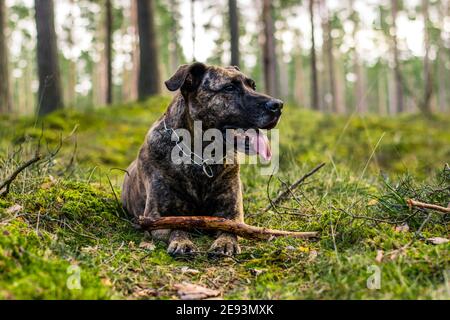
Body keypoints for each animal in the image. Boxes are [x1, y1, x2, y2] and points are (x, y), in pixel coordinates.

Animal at [121, 62, 284, 256]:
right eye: (229, 88)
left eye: (253, 86)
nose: (279, 105)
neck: (201, 156)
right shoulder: (155, 217)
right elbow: (177, 226)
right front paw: (182, 242)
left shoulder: (232, 213)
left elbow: (230, 228)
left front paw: (225, 242)